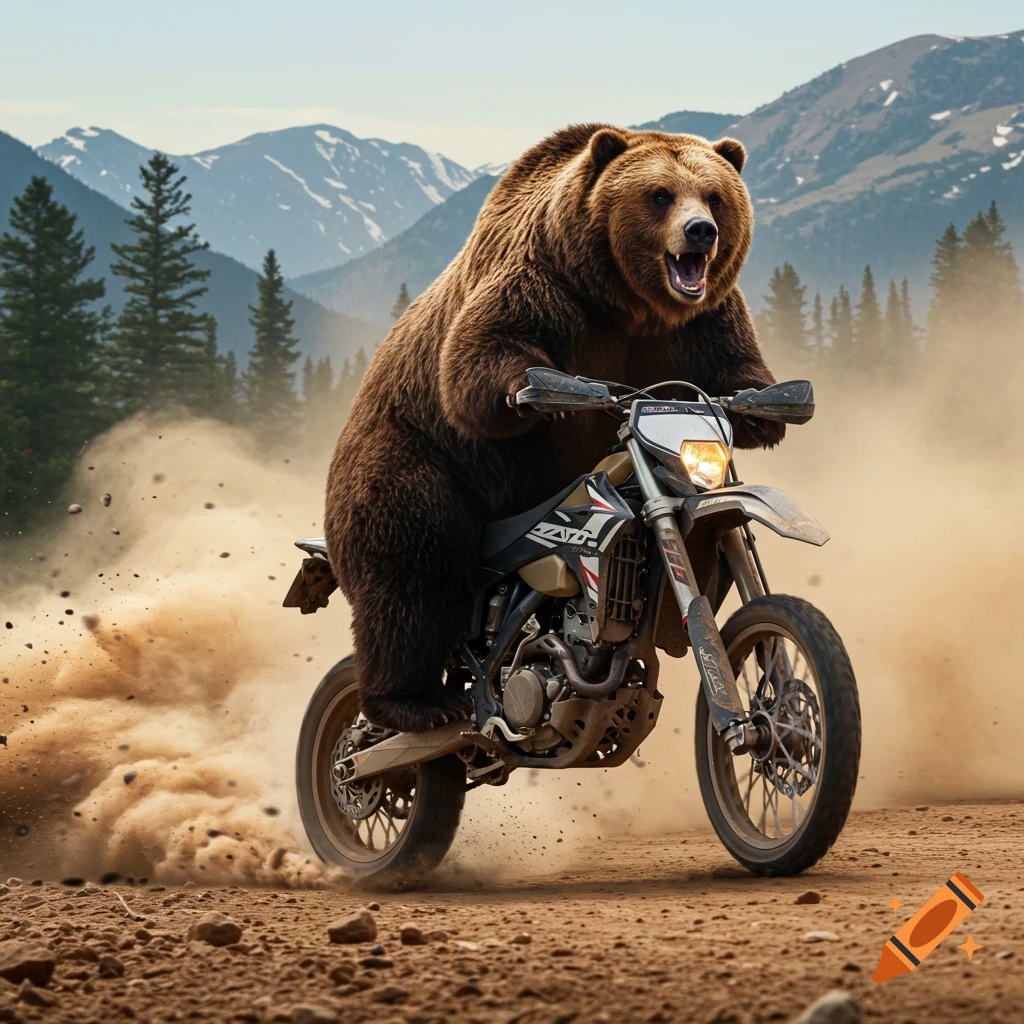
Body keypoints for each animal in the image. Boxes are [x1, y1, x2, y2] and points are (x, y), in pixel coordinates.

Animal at [324, 123, 785, 734]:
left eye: (715, 196)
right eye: (660, 194)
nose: (701, 231)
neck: (628, 306)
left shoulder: (701, 323)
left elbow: (734, 364)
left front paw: (762, 409)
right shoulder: (542, 282)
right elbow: (480, 358)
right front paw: (536, 394)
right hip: (410, 461)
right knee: (412, 572)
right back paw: (416, 704)